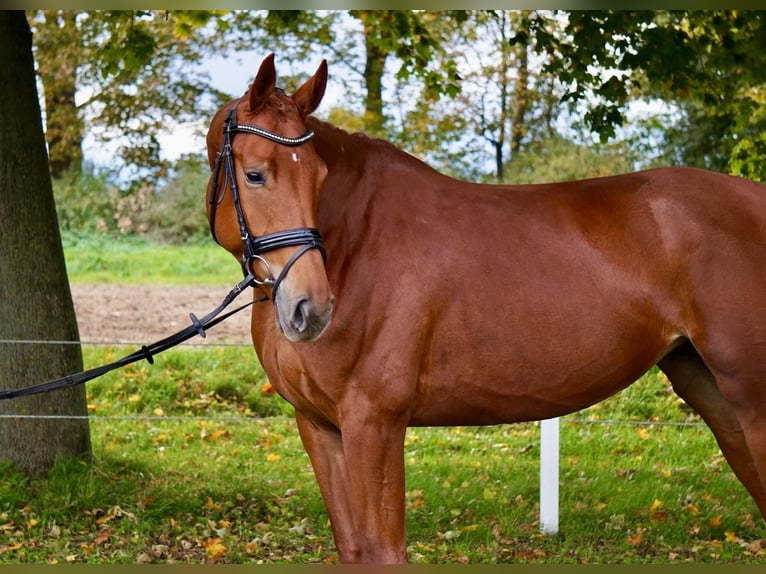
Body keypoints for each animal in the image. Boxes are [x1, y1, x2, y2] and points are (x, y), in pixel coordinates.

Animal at [204, 56, 766, 564]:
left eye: (320, 177)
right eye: (255, 175)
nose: (311, 307)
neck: (358, 243)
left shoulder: (374, 424)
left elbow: (384, 552)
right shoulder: (321, 429)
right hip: (710, 390)